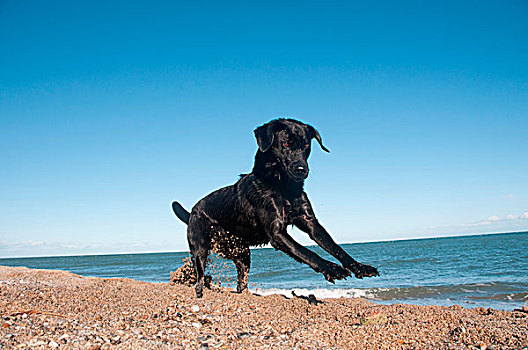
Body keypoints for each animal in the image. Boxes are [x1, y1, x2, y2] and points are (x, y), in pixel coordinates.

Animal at [173, 119, 380, 296]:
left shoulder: (310, 221)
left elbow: (335, 247)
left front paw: (360, 267)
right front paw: (331, 268)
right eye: (286, 144)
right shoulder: (277, 232)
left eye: (306, 146)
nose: (302, 170)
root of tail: (192, 211)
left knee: (241, 282)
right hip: (200, 248)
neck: (283, 185)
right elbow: (307, 252)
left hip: (242, 254)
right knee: (199, 277)